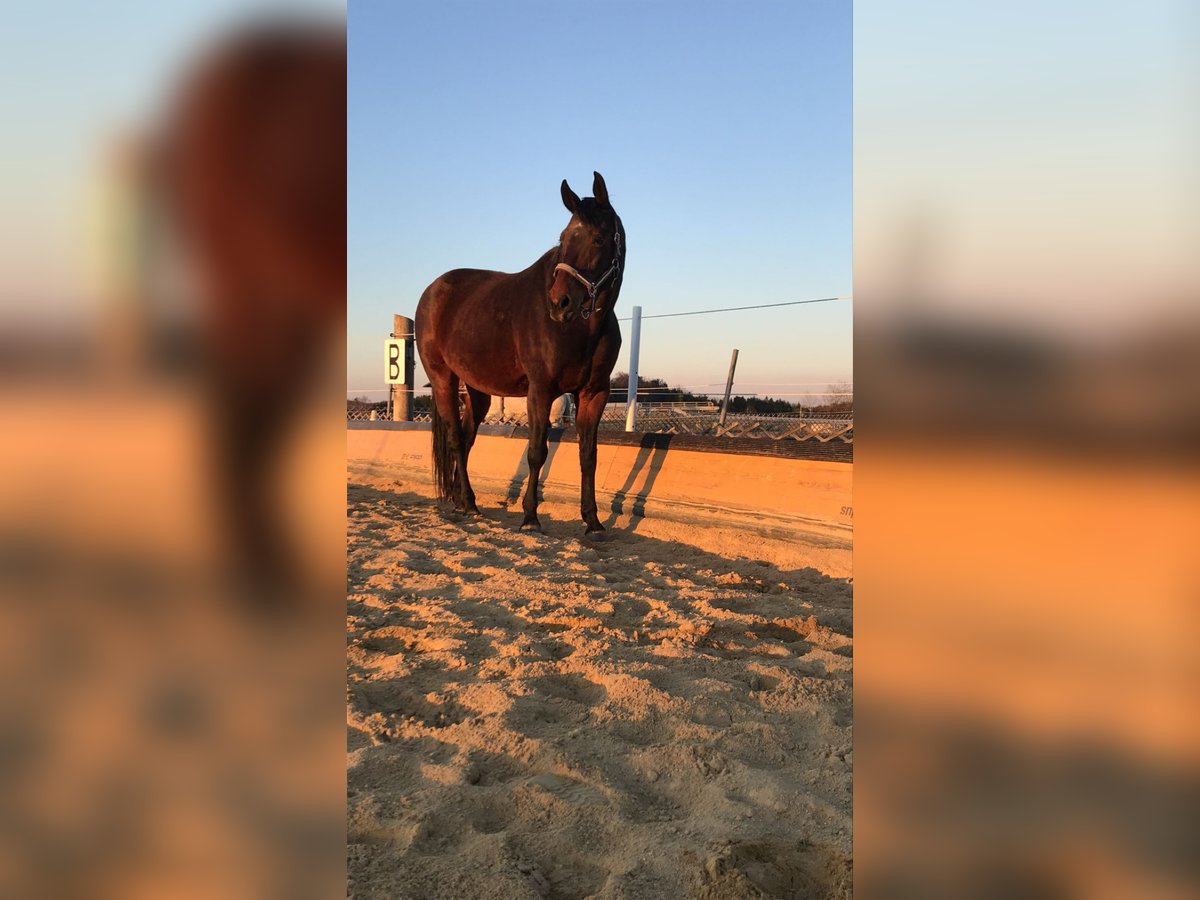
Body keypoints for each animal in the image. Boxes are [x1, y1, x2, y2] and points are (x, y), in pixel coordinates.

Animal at [415, 172, 625, 536]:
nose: (559, 303)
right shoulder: (540, 391)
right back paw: (468, 503)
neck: (583, 330)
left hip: (477, 391)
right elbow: (536, 451)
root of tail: (432, 291)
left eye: (598, 239)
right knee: (456, 438)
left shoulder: (594, 393)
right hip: (442, 379)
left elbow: (589, 455)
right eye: (563, 238)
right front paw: (530, 518)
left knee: (467, 439)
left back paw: (461, 500)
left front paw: (593, 521)